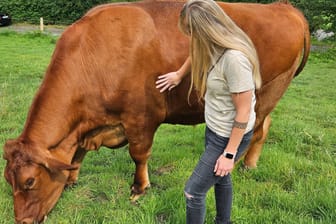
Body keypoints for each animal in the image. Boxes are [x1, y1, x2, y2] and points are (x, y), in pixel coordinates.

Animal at [3, 0, 310, 223]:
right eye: (7, 178)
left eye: (30, 181)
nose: (22, 221)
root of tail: (283, 7)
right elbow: (76, 155)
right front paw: (71, 179)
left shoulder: (141, 118)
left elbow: (139, 154)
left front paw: (139, 189)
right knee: (263, 126)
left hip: (269, 90)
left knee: (256, 128)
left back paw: (246, 164)